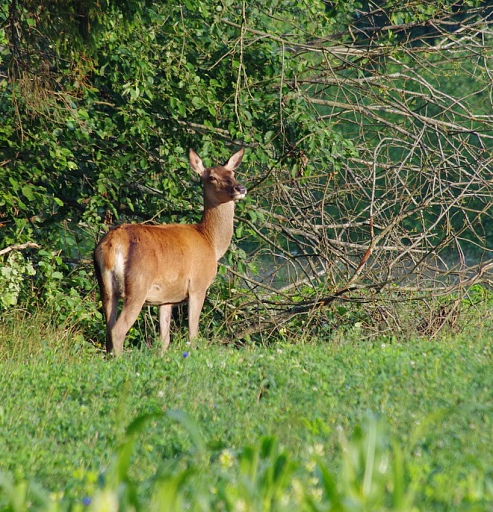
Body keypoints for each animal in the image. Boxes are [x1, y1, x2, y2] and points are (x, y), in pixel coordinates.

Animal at [92, 148, 246, 356]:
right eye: (212, 177)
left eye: (233, 173)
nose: (240, 188)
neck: (211, 242)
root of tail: (112, 245)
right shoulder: (198, 285)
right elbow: (193, 334)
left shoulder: (165, 299)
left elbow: (164, 340)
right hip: (138, 284)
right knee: (117, 330)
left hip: (106, 288)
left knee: (108, 329)